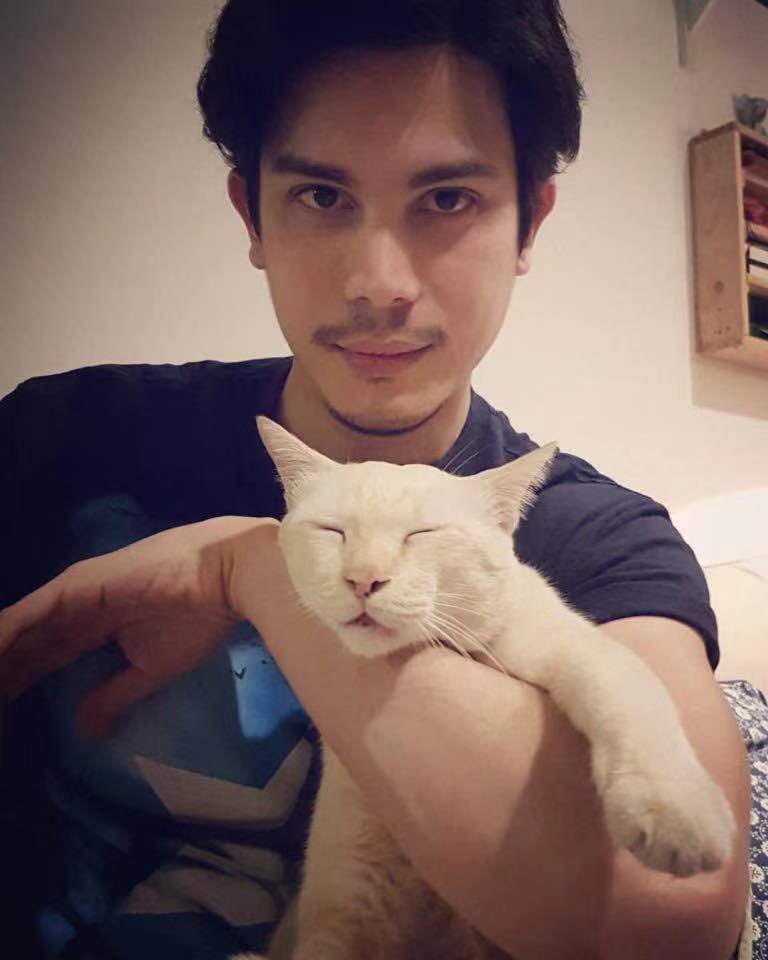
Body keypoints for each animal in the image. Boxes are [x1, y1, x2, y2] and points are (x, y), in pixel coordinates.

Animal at [235, 415, 735, 960]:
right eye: (333, 531)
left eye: (421, 534)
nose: (364, 579)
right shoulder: (343, 912)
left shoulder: (561, 641)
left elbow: (626, 680)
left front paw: (674, 806)